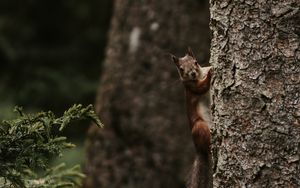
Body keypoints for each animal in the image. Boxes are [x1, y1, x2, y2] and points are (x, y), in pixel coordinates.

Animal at [171, 47, 213, 187]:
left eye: (195, 62)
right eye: (181, 69)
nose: (192, 73)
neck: (200, 75)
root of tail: (198, 149)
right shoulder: (191, 87)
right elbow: (202, 87)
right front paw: (211, 74)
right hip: (199, 126)